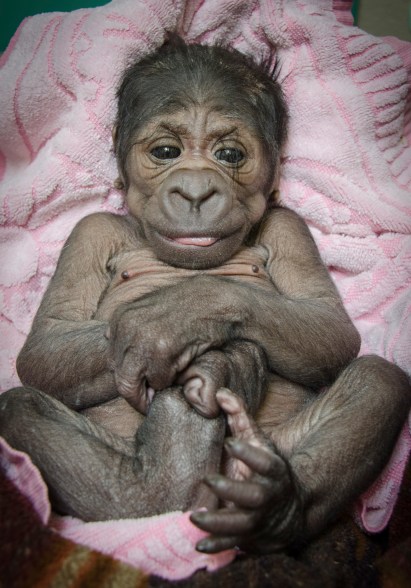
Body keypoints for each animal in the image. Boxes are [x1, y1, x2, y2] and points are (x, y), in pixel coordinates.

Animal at [0, 36, 411, 556]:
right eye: (166, 151)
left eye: (230, 154)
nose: (195, 191)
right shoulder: (88, 234)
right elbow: (44, 349)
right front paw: (206, 353)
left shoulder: (289, 227)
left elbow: (331, 330)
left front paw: (176, 320)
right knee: (19, 408)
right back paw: (161, 471)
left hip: (268, 445)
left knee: (380, 381)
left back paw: (270, 503)